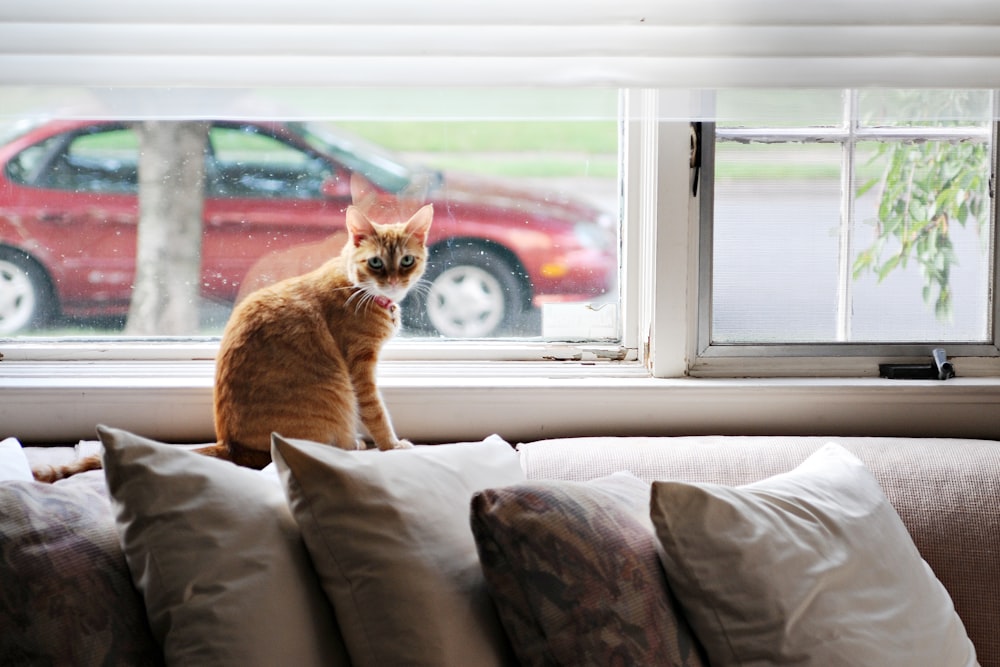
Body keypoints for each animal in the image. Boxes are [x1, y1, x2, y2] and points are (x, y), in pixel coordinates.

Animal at [33, 198, 432, 480]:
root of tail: (230, 446)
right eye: (376, 263)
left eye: (407, 261)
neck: (357, 288)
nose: (393, 281)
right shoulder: (360, 368)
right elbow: (377, 412)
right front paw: (392, 445)